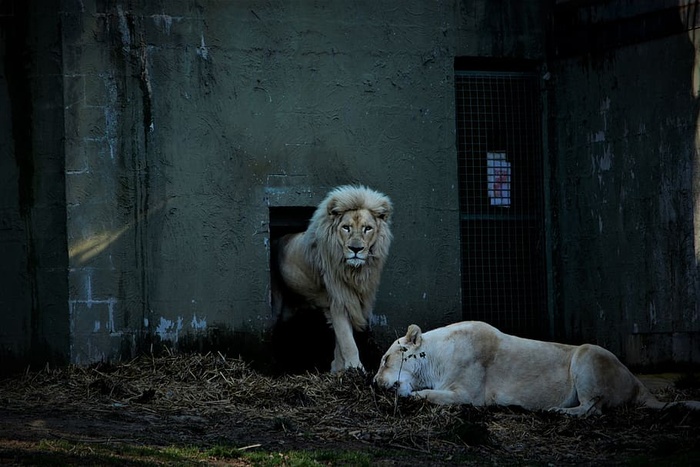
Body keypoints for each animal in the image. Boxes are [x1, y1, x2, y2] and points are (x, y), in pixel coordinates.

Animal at [274, 186, 394, 372]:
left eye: (367, 228)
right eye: (346, 228)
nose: (356, 249)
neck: (354, 272)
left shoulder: (351, 300)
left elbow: (340, 341)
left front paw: (337, 369)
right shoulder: (339, 299)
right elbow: (347, 341)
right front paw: (356, 370)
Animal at [374, 322, 700, 416]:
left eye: (385, 360)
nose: (375, 383)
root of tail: (638, 383)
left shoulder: (469, 395)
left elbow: (429, 395)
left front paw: (411, 395)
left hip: (587, 354)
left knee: (592, 409)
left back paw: (553, 411)